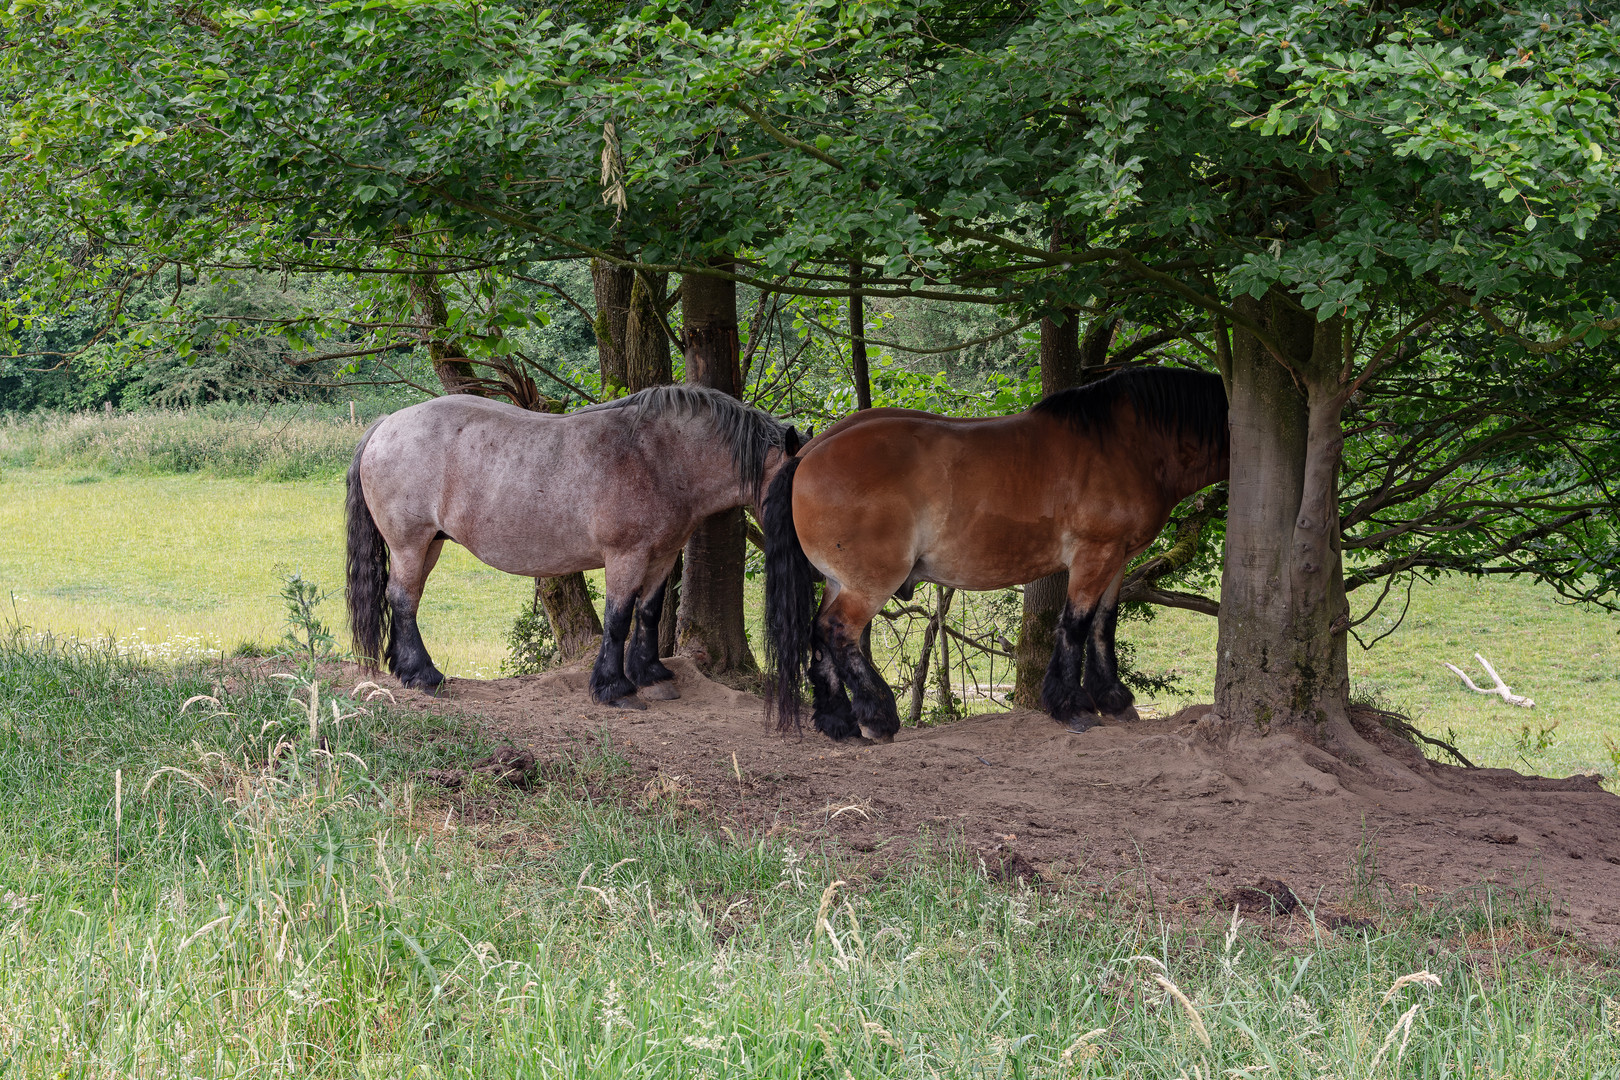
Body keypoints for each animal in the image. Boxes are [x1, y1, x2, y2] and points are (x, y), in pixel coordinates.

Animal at [345, 388, 800, 709]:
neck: (658, 457)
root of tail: (384, 425)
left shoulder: (663, 556)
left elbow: (648, 614)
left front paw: (651, 675)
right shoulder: (626, 556)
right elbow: (618, 618)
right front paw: (614, 688)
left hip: (430, 545)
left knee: (406, 598)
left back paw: (403, 668)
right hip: (409, 542)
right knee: (402, 598)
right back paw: (423, 676)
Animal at [761, 367, 1224, 738]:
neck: (1127, 443)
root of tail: (806, 456)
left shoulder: (1118, 557)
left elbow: (1102, 626)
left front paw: (1113, 699)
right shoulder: (1095, 555)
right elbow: (1076, 626)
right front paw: (1072, 707)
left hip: (838, 580)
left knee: (818, 633)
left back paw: (837, 720)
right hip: (870, 582)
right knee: (838, 631)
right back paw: (877, 717)